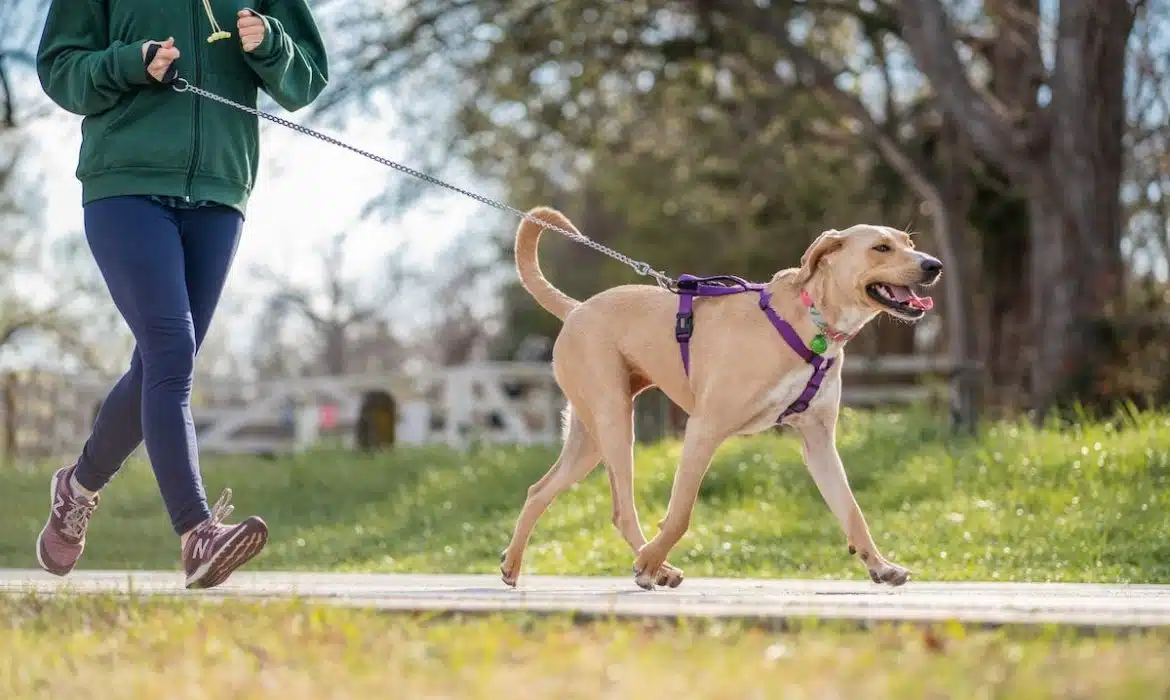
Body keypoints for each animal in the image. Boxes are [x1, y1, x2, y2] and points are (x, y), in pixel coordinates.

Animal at [500, 207, 940, 592]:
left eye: (908, 242)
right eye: (881, 248)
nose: (933, 265)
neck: (812, 322)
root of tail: (576, 309)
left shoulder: (819, 444)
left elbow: (852, 510)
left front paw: (880, 566)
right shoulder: (704, 429)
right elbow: (680, 515)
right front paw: (649, 563)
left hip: (589, 438)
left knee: (539, 490)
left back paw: (513, 563)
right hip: (614, 421)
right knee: (621, 509)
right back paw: (655, 566)